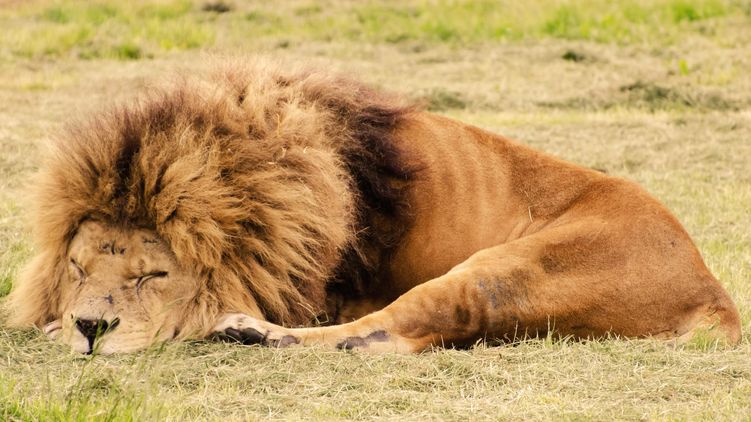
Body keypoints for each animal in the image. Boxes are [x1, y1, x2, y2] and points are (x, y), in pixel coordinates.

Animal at [3, 59, 741, 354]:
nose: (90, 328)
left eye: (154, 274)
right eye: (77, 267)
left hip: (507, 270)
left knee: (387, 332)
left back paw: (249, 332)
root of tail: (712, 289)